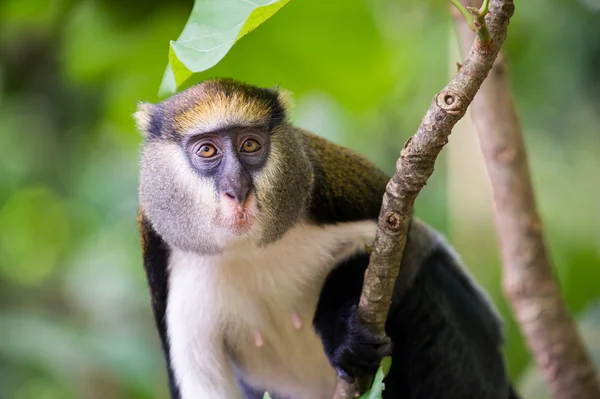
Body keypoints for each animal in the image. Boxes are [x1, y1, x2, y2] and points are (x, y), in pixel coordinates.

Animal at [135, 79, 520, 399]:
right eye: (207, 151)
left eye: (250, 145)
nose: (237, 190)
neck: (248, 251)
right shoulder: (164, 263)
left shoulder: (333, 196)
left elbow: (406, 247)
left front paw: (339, 332)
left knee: (431, 283)